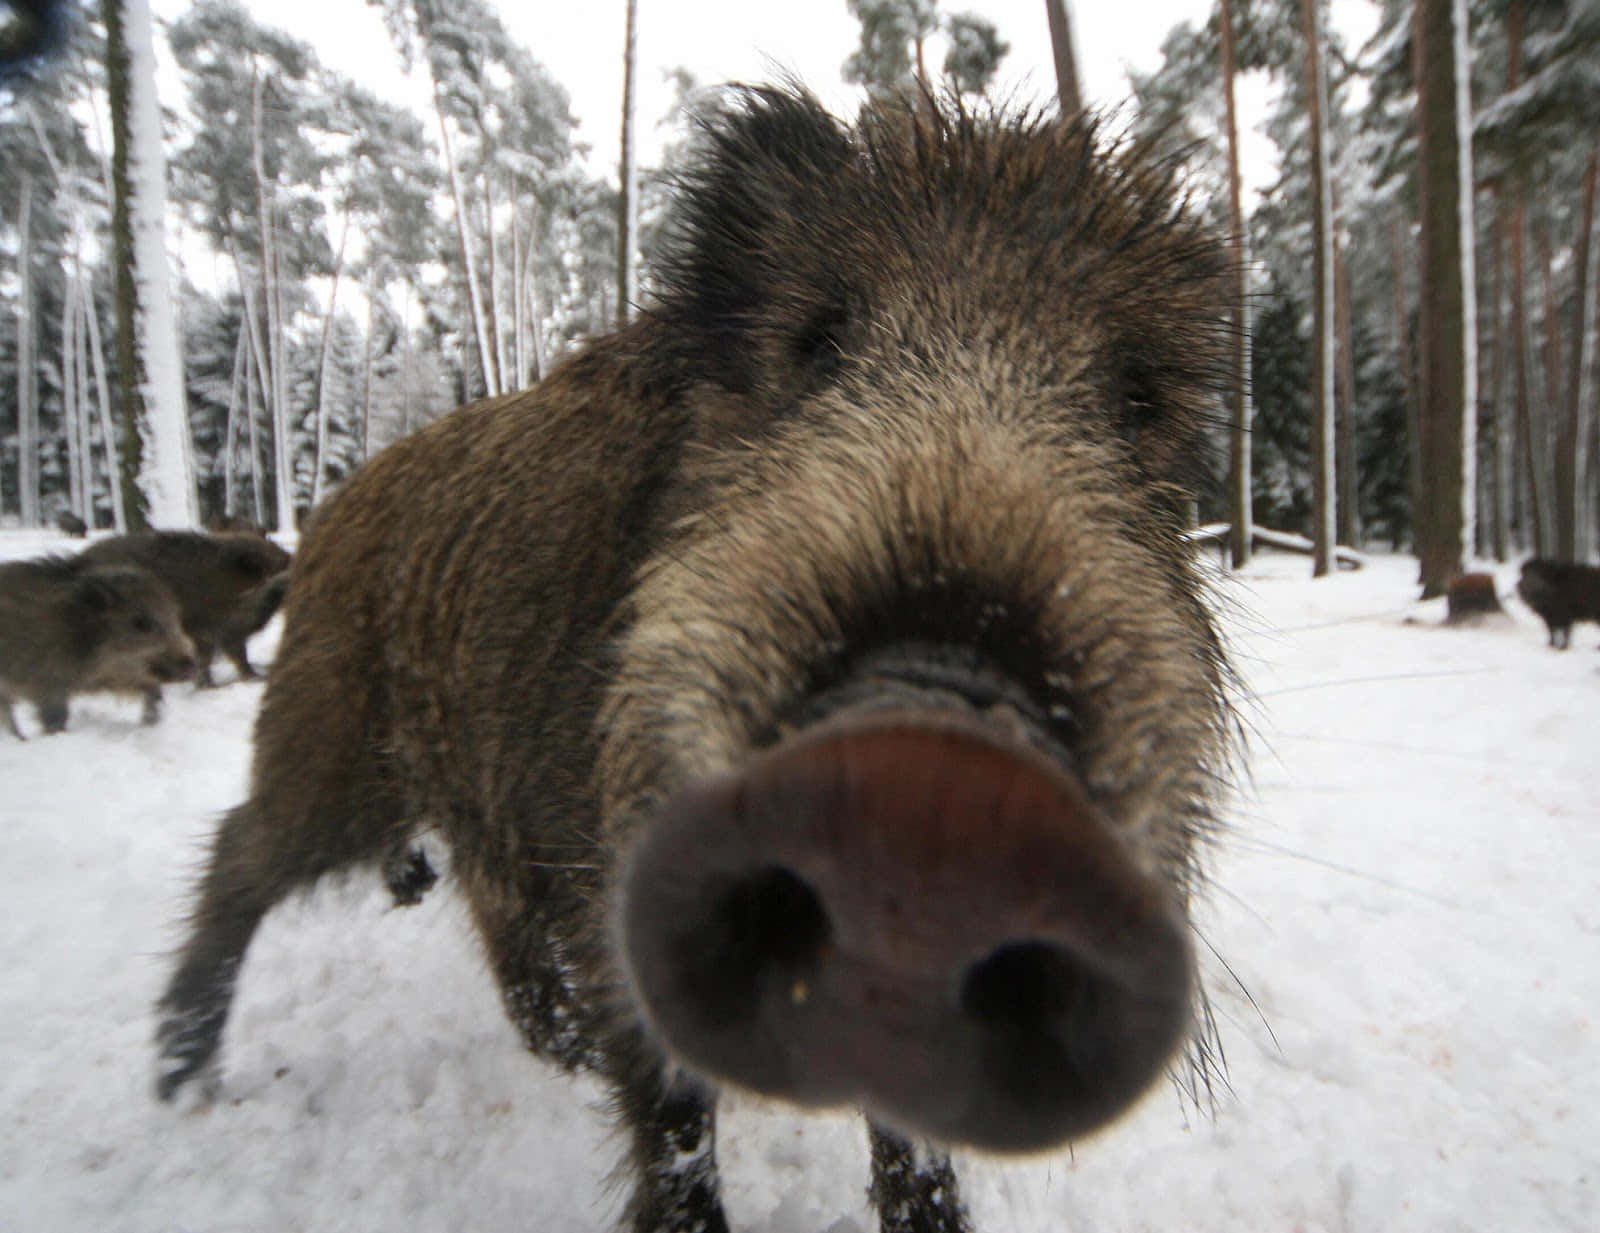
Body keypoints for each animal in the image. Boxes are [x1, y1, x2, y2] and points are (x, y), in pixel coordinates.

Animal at [0, 556, 196, 736]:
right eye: (141, 623)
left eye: (175, 615)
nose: (190, 664)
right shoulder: (49, 683)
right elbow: (56, 718)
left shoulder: (116, 678)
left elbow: (152, 690)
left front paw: (150, 722)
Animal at [80, 531, 291, 685]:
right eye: (279, 563)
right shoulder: (206, 627)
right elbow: (211, 656)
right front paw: (209, 685)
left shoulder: (230, 628)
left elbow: (237, 654)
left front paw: (254, 676)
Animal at [155, 87, 1237, 1233]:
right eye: (816, 340)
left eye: (1135, 402)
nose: (930, 771)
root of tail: (329, 514)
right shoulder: (614, 876)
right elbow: (671, 1129)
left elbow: (914, 1144)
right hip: (332, 734)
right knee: (241, 850)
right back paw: (182, 1080)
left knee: (485, 906)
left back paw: (551, 1050)